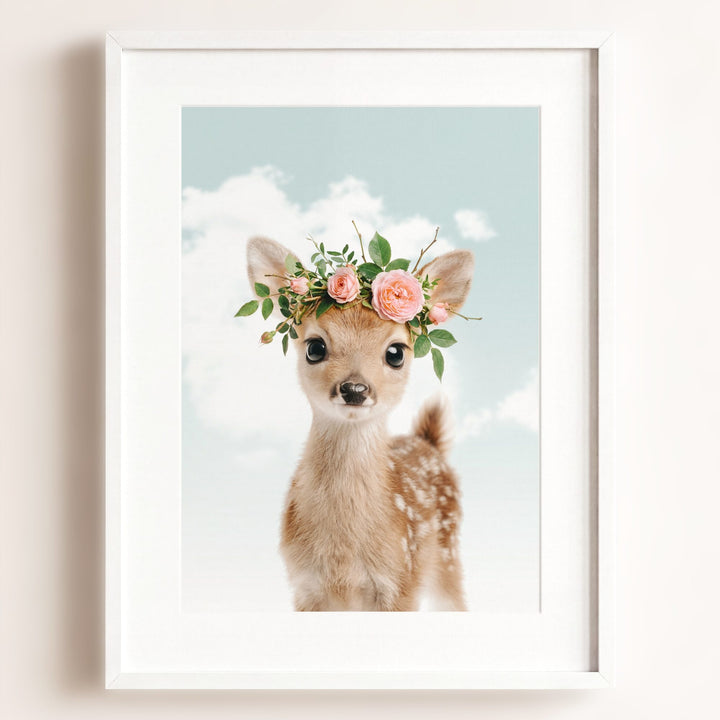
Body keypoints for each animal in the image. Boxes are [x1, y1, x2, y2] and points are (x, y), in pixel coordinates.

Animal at [246, 235, 475, 611]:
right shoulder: (304, 585)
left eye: (396, 352)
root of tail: (428, 442)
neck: (343, 556)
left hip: (448, 554)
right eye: (314, 347)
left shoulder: (401, 582)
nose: (354, 389)